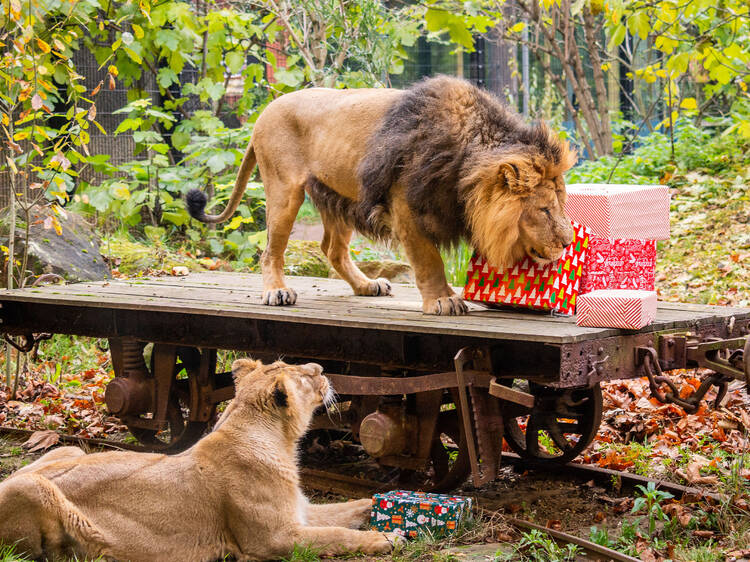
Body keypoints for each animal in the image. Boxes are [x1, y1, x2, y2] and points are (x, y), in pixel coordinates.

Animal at [0, 356, 400, 556]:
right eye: (302, 375)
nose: (321, 369)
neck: (282, 442)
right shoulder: (273, 538)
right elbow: (336, 536)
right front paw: (385, 540)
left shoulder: (300, 512)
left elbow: (348, 511)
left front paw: (389, 506)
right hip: (32, 487)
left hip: (67, 447)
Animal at [188, 75, 576, 316]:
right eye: (544, 209)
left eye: (561, 205)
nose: (568, 242)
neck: (467, 157)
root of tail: (261, 114)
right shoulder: (405, 204)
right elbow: (428, 260)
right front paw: (444, 300)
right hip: (284, 191)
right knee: (271, 249)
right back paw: (276, 292)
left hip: (340, 195)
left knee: (332, 249)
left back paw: (366, 286)